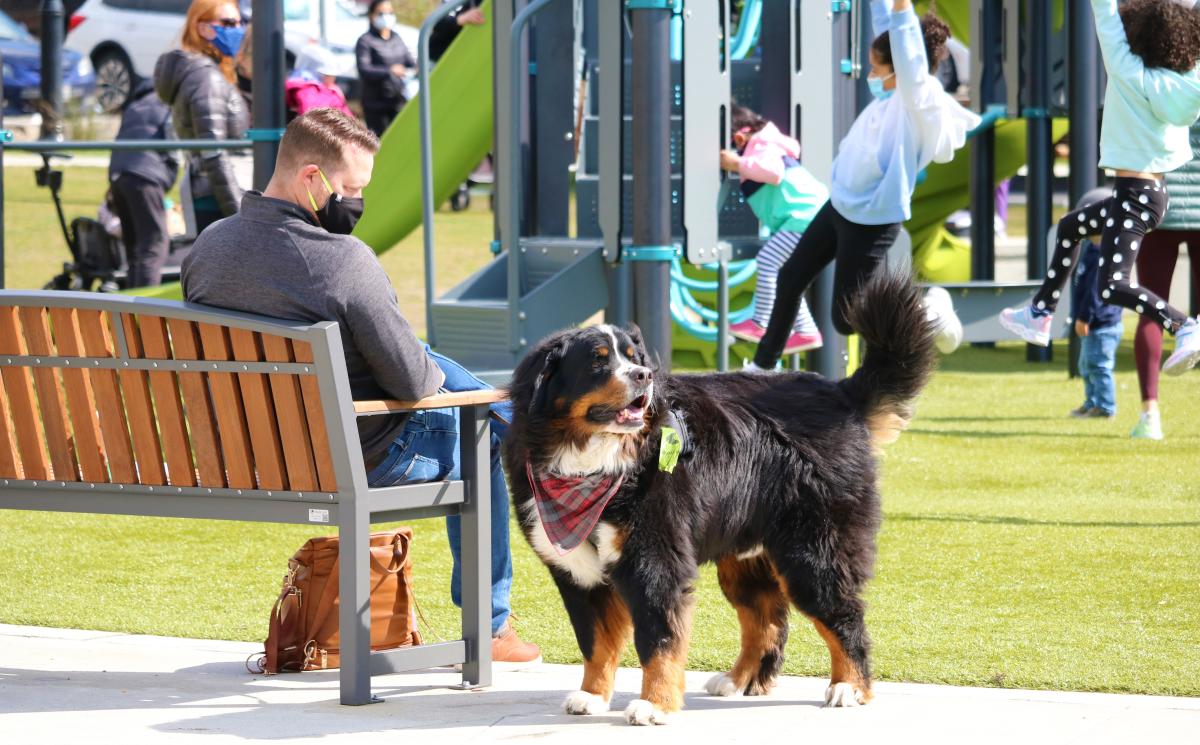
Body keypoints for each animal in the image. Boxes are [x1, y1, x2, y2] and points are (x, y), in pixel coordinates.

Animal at [501, 269, 940, 724]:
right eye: (598, 361)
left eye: (633, 357)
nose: (643, 375)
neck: (590, 462)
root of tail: (839, 393)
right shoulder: (578, 573)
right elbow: (595, 643)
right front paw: (591, 695)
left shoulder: (654, 562)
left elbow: (658, 641)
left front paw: (654, 704)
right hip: (746, 554)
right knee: (765, 620)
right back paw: (740, 679)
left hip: (813, 553)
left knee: (843, 615)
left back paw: (848, 686)